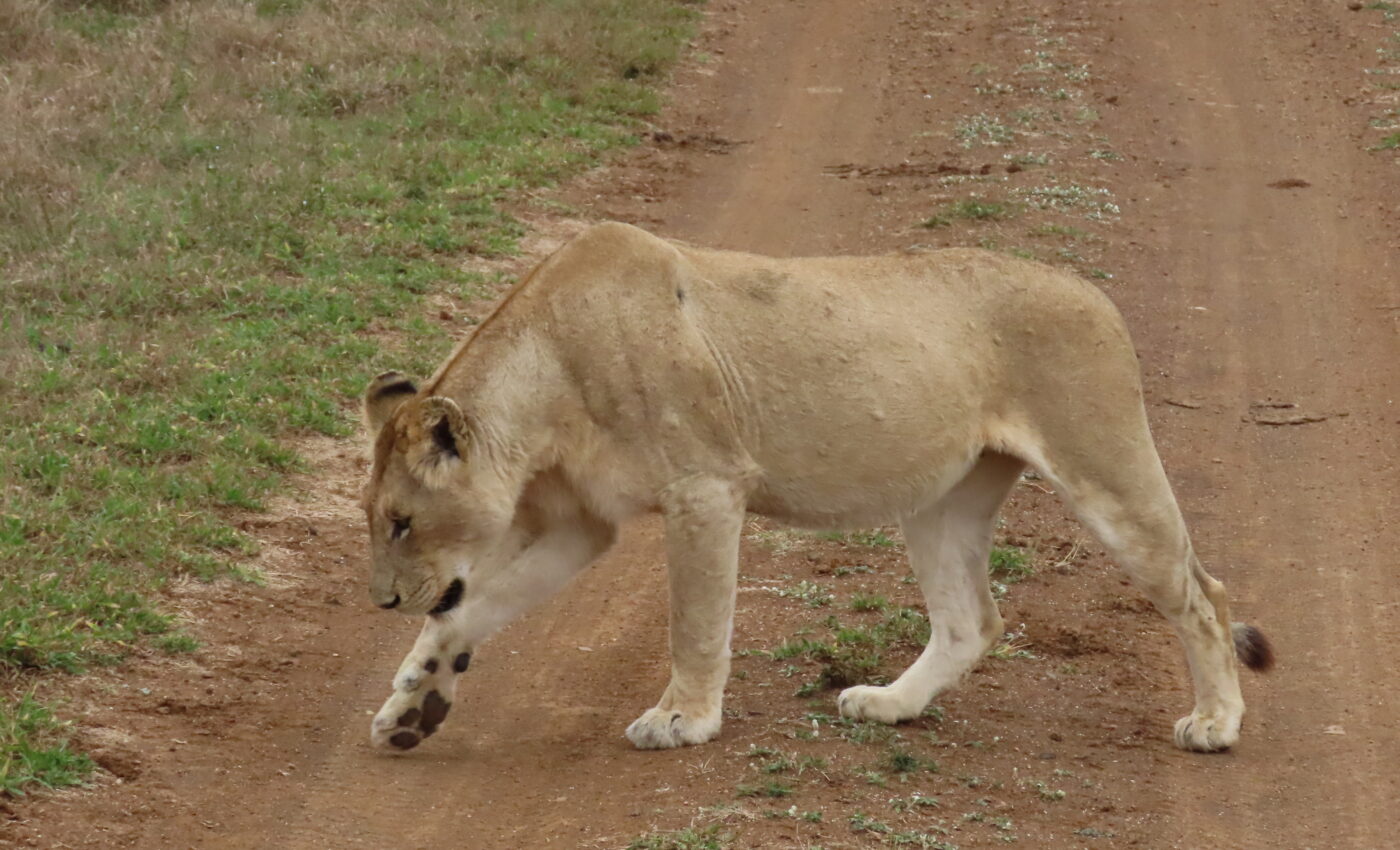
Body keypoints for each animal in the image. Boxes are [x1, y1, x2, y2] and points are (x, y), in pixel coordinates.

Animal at [358, 221, 1272, 755]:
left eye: (401, 522)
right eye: (373, 521)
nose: (383, 603)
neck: (544, 379)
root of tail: (1089, 290)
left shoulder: (704, 487)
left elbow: (694, 623)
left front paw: (683, 719)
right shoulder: (585, 522)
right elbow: (472, 608)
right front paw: (412, 703)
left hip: (1105, 466)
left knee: (1206, 594)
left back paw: (1216, 723)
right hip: (943, 501)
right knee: (972, 621)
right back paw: (891, 705)